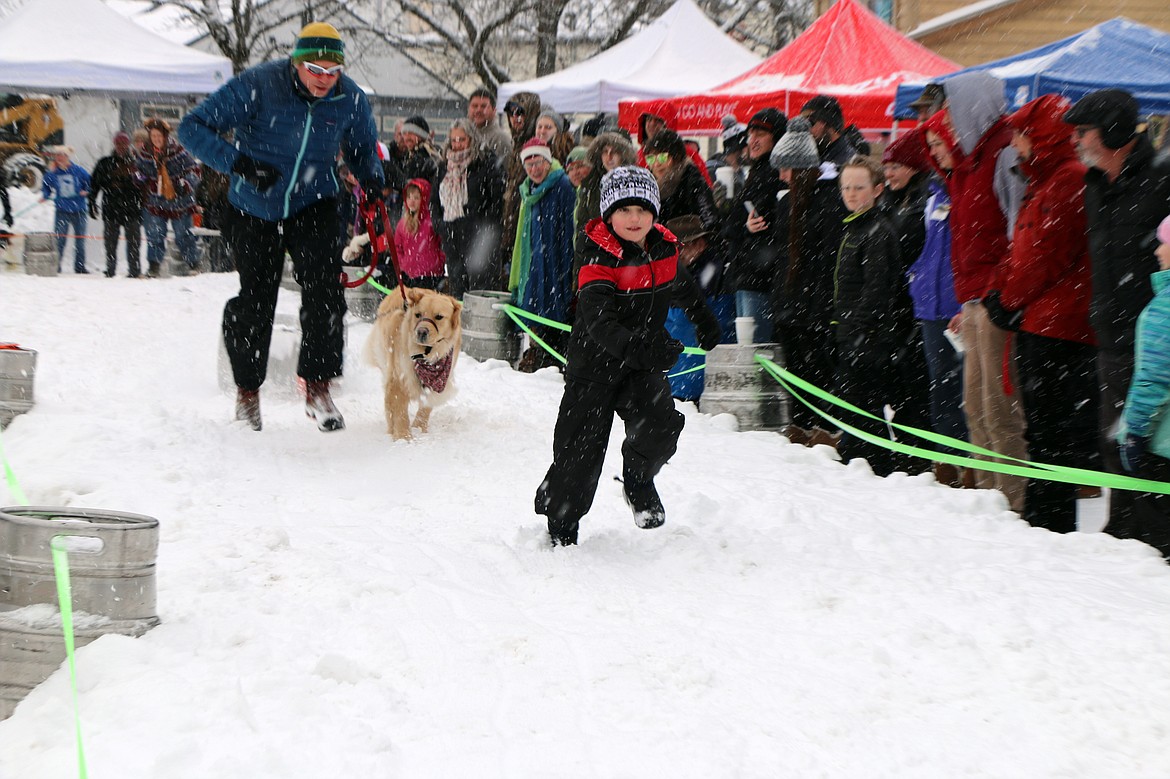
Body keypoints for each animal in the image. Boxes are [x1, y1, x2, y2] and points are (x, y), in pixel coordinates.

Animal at [360, 285, 460, 437]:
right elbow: (400, 412)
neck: (426, 355)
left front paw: (419, 429)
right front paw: (403, 437)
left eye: (439, 317)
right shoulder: (399, 378)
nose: (421, 331)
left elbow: (425, 407)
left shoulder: (436, 382)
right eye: (418, 315)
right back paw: (391, 430)